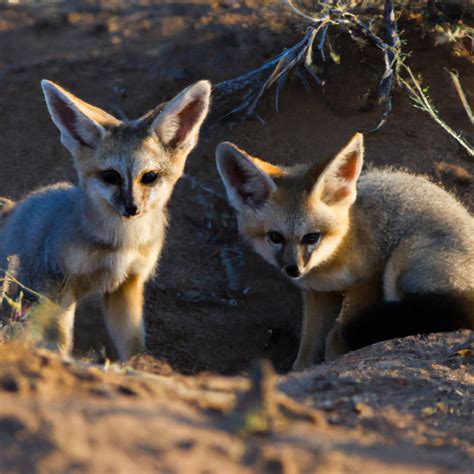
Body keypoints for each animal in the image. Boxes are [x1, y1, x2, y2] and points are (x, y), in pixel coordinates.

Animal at [0, 78, 211, 360]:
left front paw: (137, 366)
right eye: (111, 176)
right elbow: (59, 342)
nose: (132, 208)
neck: (122, 243)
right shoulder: (58, 285)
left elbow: (132, 344)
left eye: (150, 177)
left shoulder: (128, 284)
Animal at [217, 132, 474, 370]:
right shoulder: (315, 293)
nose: (293, 270)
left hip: (399, 265)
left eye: (311, 237)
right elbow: (307, 349)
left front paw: (335, 359)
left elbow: (334, 337)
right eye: (275, 237)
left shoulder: (367, 283)